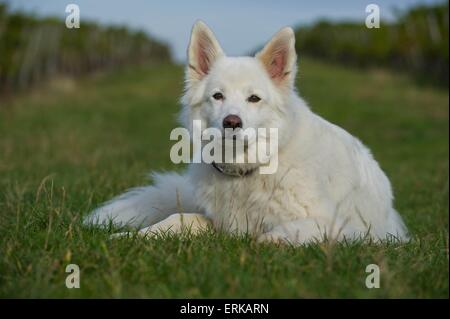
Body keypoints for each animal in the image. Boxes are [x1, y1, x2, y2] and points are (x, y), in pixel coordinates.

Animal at [83, 21, 408, 245]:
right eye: (218, 96)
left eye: (254, 98)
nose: (232, 122)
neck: (248, 170)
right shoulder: (217, 220)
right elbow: (178, 218)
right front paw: (132, 236)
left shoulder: (340, 226)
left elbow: (285, 233)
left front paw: (266, 242)